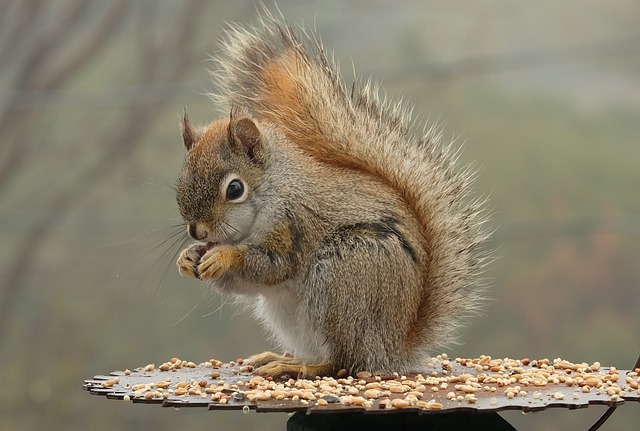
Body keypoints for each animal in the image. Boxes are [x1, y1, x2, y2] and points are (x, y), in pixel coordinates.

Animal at [175, 11, 490, 380]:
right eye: (180, 180)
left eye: (235, 189)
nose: (198, 231)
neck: (274, 189)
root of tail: (395, 345)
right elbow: (244, 284)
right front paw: (187, 257)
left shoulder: (294, 223)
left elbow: (272, 265)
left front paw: (223, 256)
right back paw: (284, 358)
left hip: (345, 276)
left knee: (344, 361)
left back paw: (299, 365)